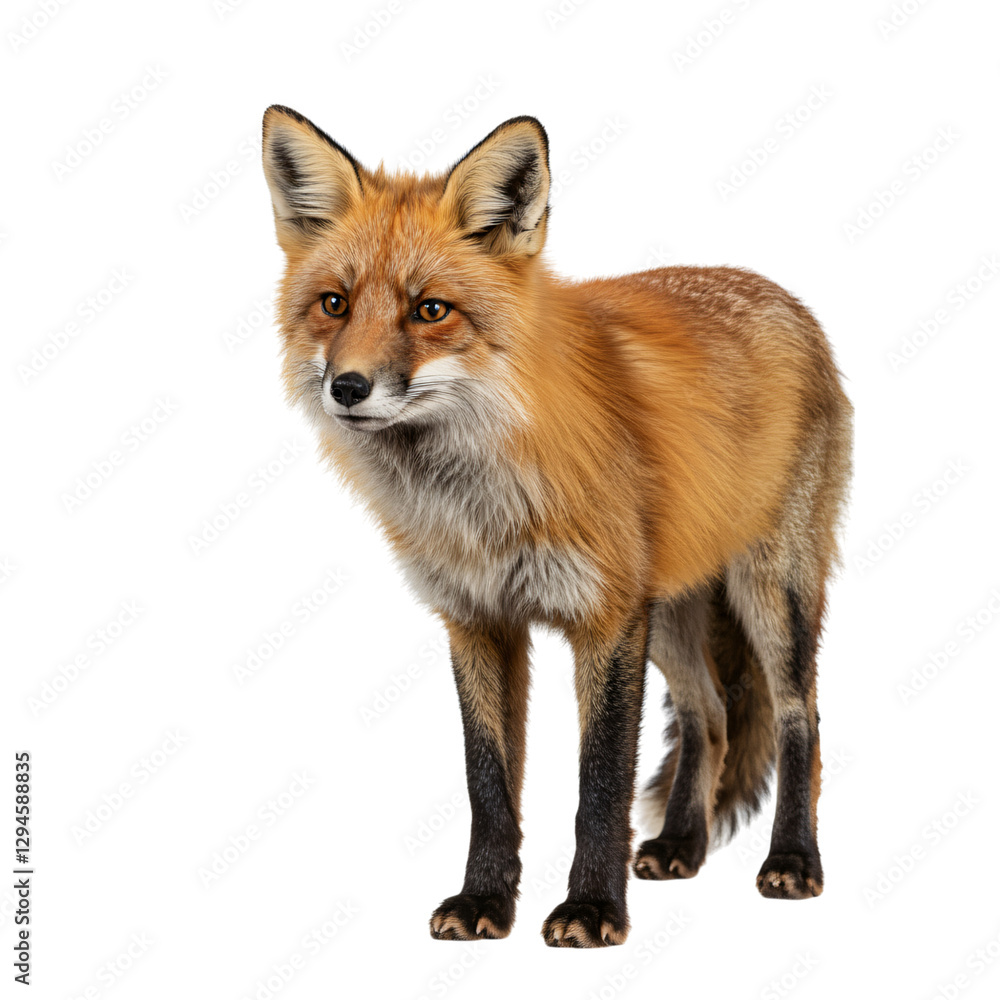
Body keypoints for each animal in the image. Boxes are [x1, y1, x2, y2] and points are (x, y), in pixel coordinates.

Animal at [261, 105, 853, 948]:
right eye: (334, 304)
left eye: (430, 310)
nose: (347, 387)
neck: (480, 500)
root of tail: (781, 294)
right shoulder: (477, 618)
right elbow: (488, 784)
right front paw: (484, 901)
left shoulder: (604, 618)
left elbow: (599, 784)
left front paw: (591, 909)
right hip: (669, 611)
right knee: (708, 717)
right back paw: (681, 844)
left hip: (770, 592)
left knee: (801, 717)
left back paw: (795, 860)